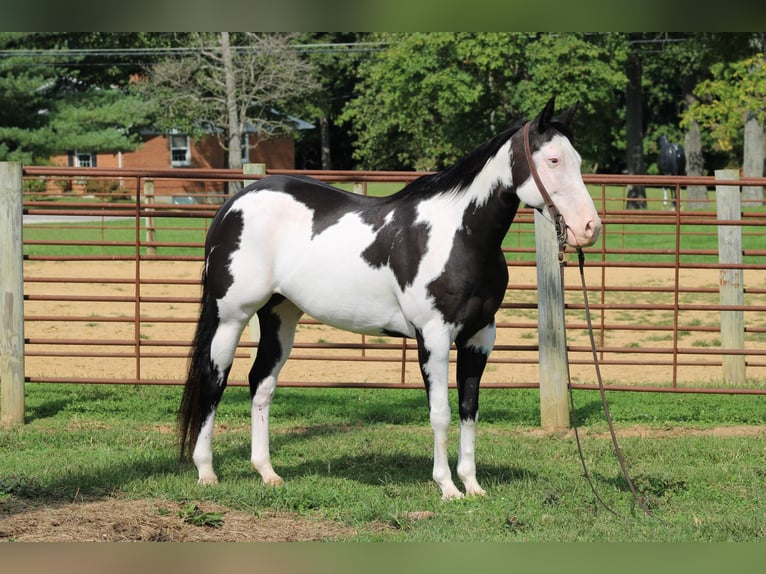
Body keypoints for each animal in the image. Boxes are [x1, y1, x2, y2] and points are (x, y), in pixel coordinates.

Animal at [182, 98, 608, 500]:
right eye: (553, 160)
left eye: (577, 160)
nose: (589, 228)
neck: (460, 237)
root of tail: (233, 204)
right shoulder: (434, 336)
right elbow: (440, 413)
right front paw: (447, 487)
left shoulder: (479, 337)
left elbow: (469, 410)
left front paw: (472, 484)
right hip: (231, 316)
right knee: (214, 380)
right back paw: (205, 472)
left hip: (280, 315)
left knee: (261, 383)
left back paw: (267, 472)